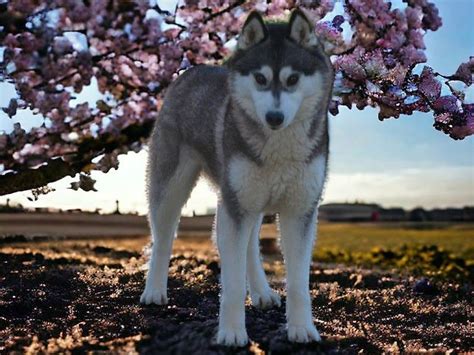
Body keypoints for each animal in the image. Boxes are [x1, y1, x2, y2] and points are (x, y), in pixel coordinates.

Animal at [141, 9, 334, 348]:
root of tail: (192, 70)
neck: (279, 149)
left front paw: (302, 328)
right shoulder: (235, 207)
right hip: (172, 188)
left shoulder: (300, 210)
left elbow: (298, 282)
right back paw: (154, 290)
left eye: (292, 79)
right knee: (163, 239)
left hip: (248, 198)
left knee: (250, 247)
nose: (274, 118)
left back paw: (261, 292)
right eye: (260, 79)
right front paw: (231, 332)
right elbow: (230, 284)